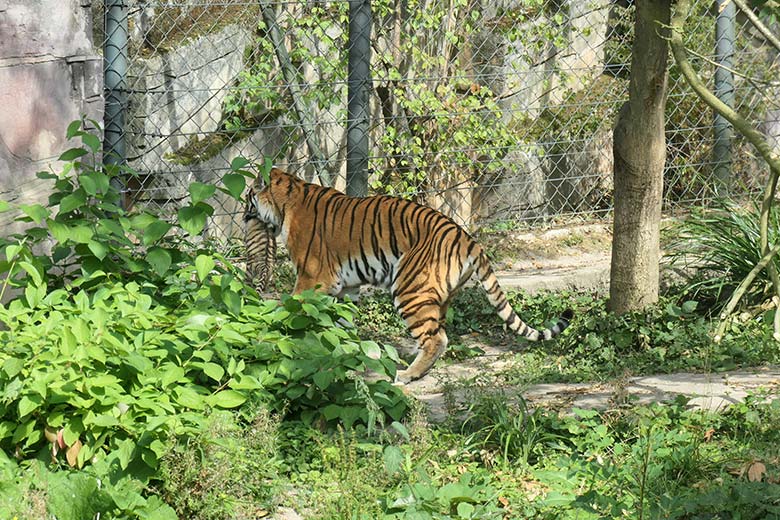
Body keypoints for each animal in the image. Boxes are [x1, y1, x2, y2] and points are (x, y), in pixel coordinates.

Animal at [244, 167, 573, 383]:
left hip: (408, 288)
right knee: (437, 332)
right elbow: (339, 322)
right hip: (439, 295)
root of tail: (467, 238)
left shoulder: (312, 278)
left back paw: (407, 373)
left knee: (437, 338)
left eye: (248, 195)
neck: (287, 200)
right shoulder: (345, 286)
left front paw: (282, 335)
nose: (243, 215)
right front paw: (340, 349)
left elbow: (293, 310)